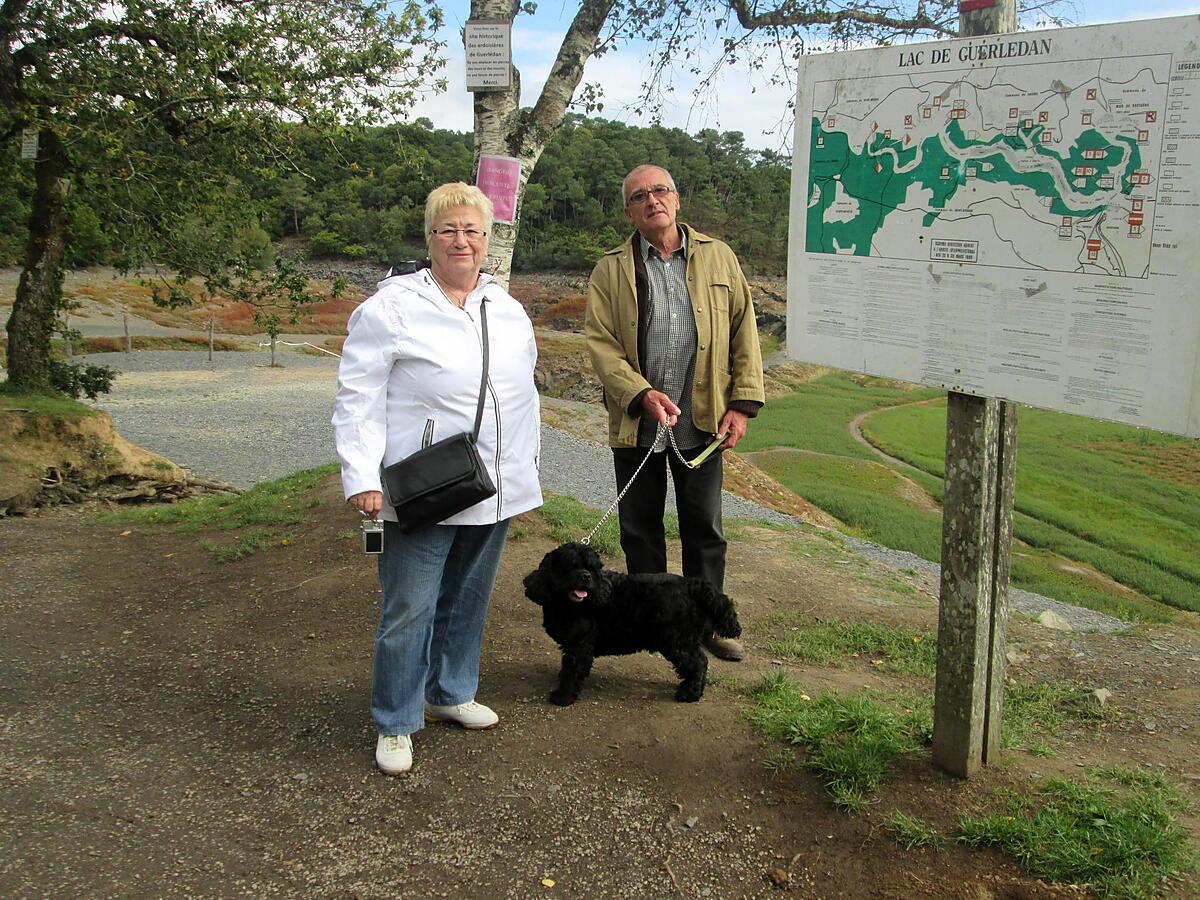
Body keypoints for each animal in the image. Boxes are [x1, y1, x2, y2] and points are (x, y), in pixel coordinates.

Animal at [523, 542, 739, 705]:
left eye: (592, 568)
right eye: (571, 565)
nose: (586, 576)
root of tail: (693, 584)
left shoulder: (579, 646)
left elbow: (572, 671)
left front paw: (563, 696)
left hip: (677, 642)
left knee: (698, 663)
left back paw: (689, 694)